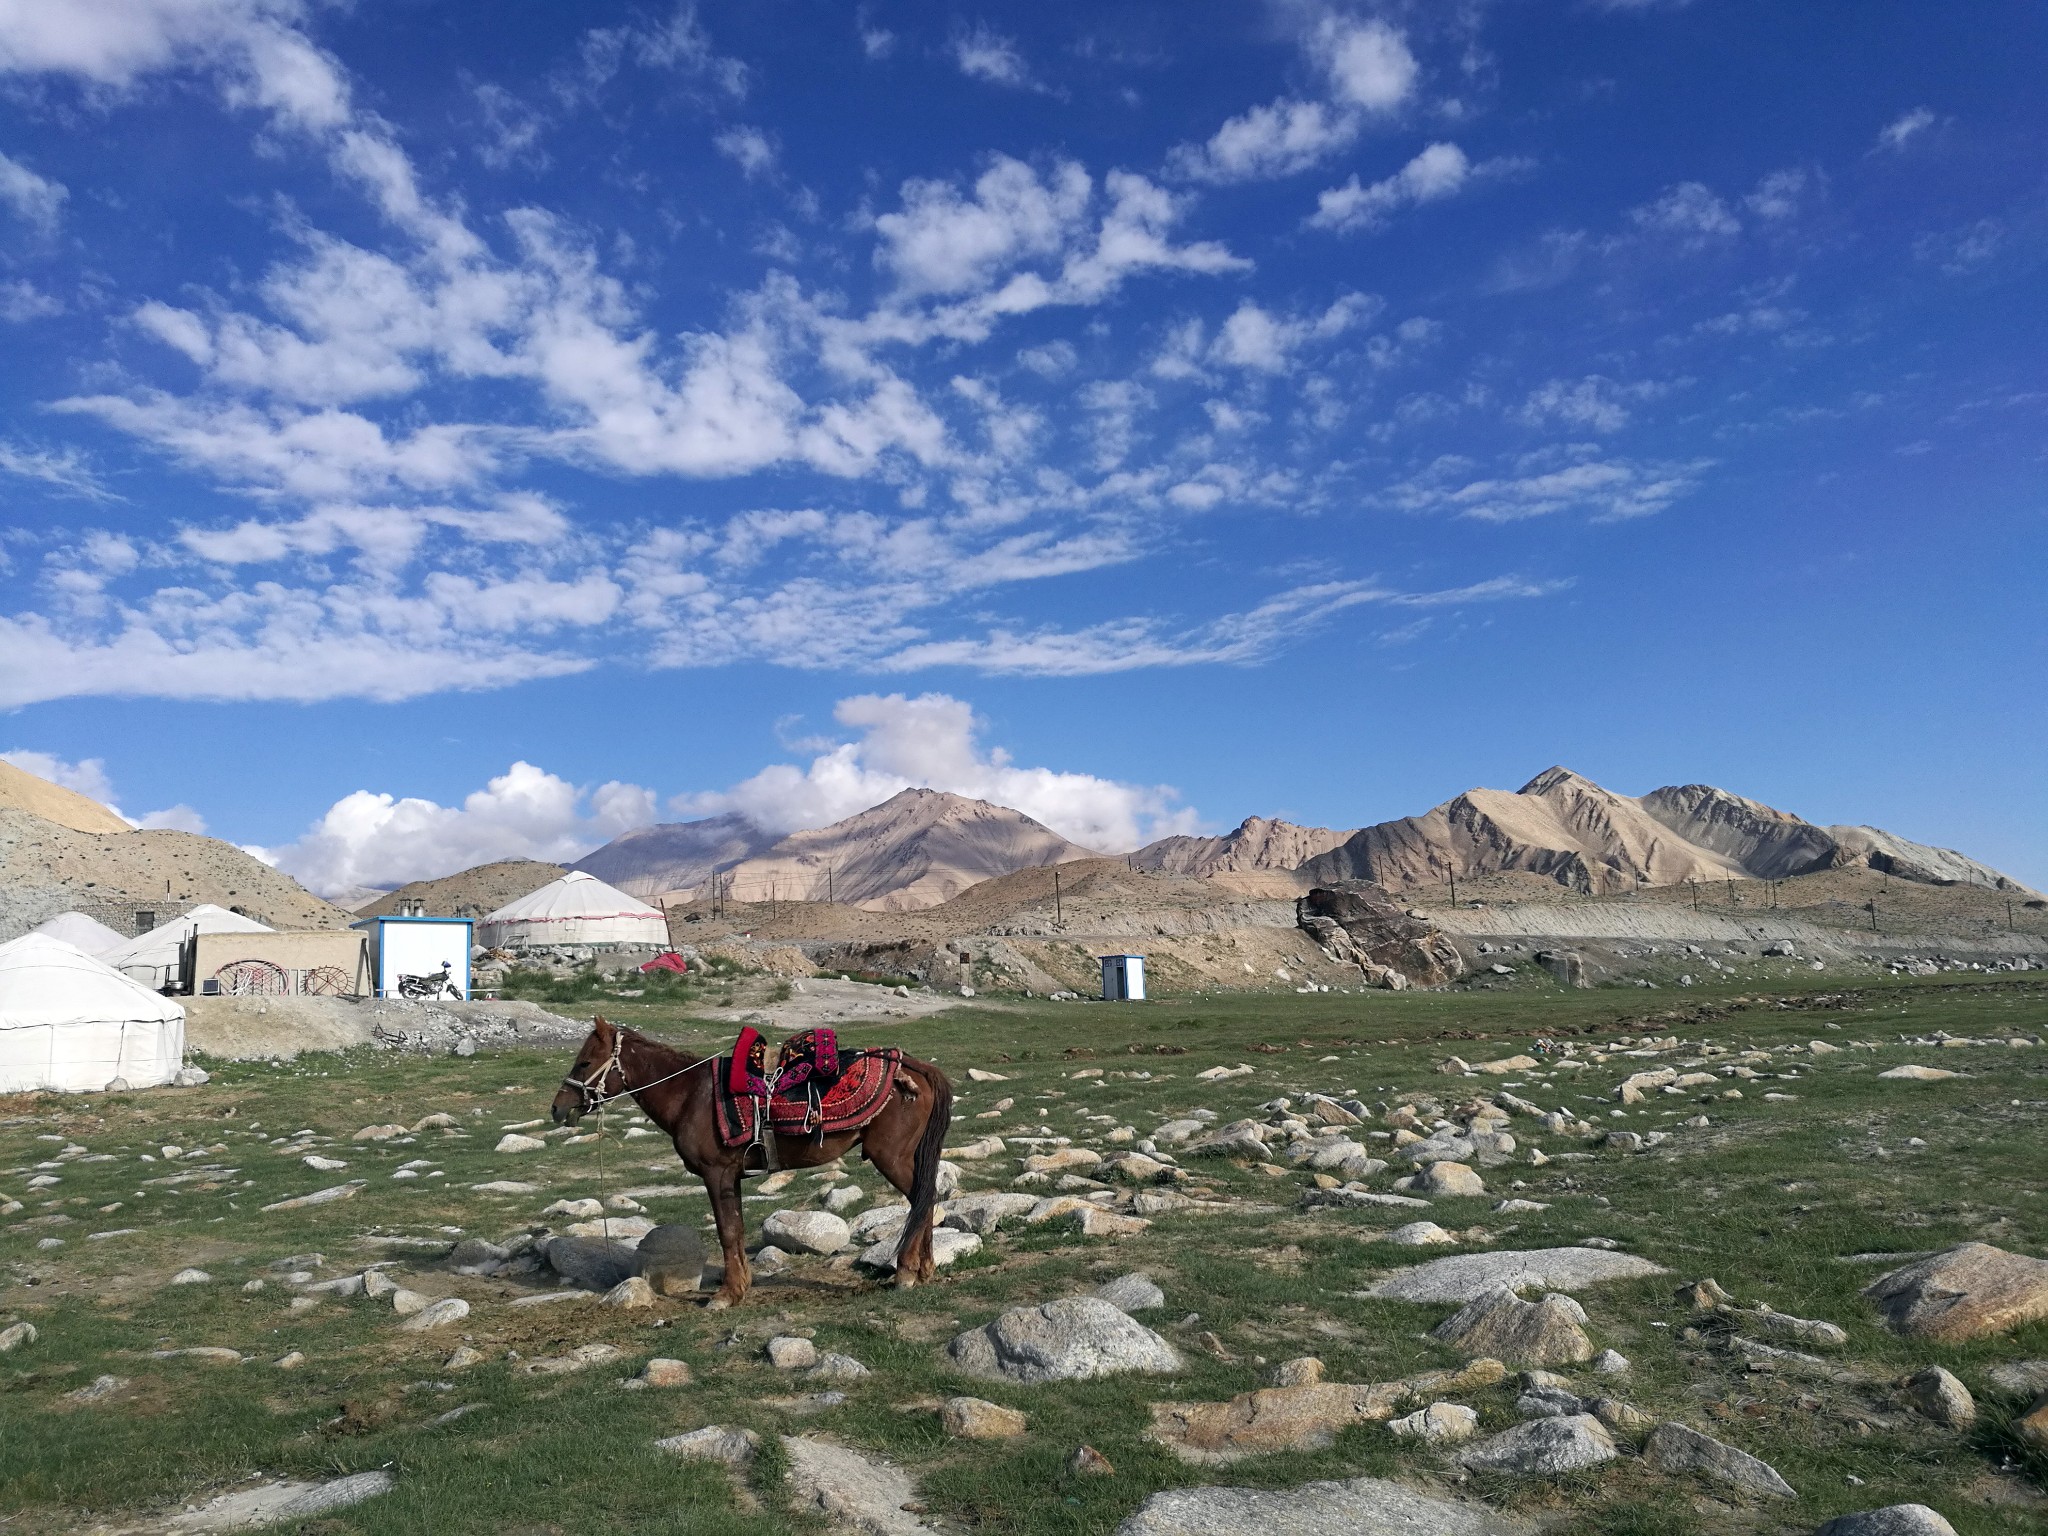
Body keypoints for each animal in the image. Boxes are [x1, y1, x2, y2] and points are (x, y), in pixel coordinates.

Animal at [548, 1024, 954, 1310]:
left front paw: (726, 1295)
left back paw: (905, 1273)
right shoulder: (734, 1176)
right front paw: (740, 1286)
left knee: (922, 1200)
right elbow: (738, 1229)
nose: (557, 1108)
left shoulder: (717, 1174)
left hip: (892, 1157)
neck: (689, 1095)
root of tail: (914, 1068)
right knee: (926, 1199)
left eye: (584, 1062)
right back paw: (924, 1270)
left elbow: (727, 1232)